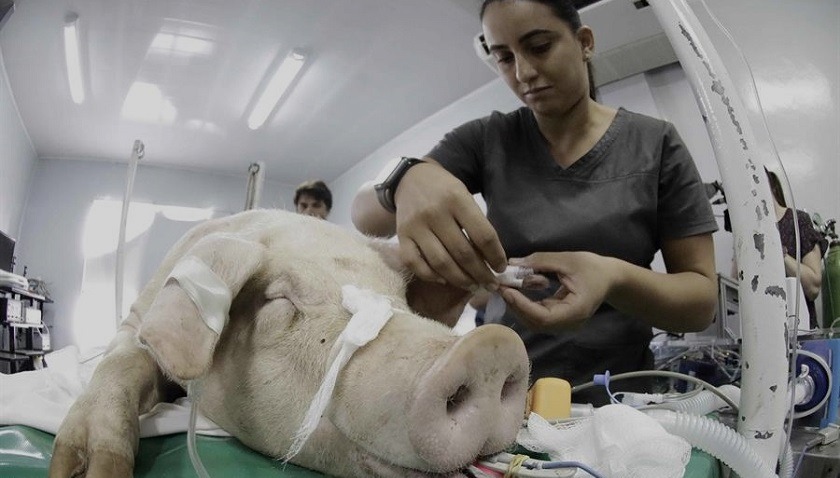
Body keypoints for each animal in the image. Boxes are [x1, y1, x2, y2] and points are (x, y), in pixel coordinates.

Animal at [47, 210, 524, 478]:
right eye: (279, 300)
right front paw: (86, 470)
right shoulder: (135, 320)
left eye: (400, 297)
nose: (492, 348)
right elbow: (122, 360)